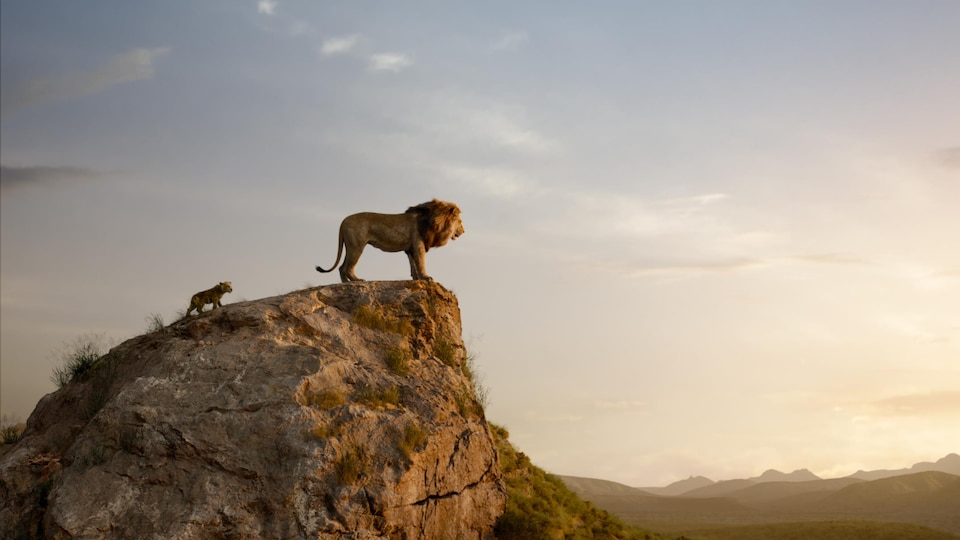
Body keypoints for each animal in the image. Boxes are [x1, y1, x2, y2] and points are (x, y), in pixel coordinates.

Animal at [316, 198, 464, 282]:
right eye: (460, 222)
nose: (464, 231)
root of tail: (343, 222)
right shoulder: (419, 244)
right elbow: (421, 263)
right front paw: (426, 277)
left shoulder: (410, 248)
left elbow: (413, 265)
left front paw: (416, 279)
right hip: (357, 246)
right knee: (347, 268)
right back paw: (358, 280)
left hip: (350, 246)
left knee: (341, 268)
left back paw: (347, 284)